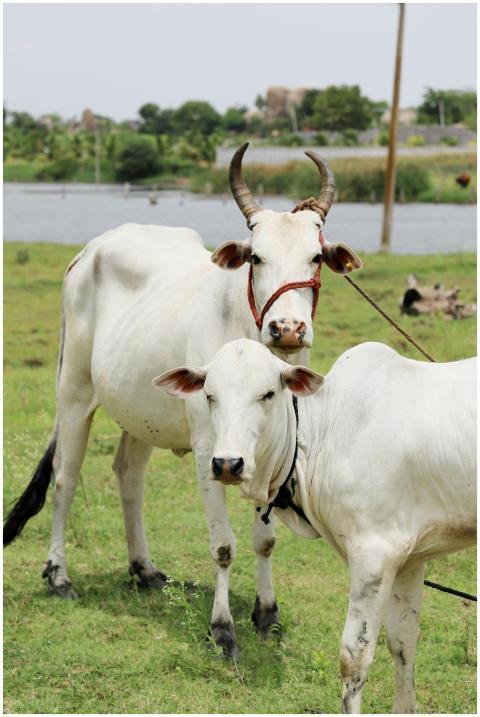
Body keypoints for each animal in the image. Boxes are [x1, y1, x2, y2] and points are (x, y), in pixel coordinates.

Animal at [3, 143, 362, 658]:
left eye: (315, 257)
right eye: (256, 257)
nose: (288, 329)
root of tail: (88, 252)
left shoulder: (271, 453)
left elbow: (265, 539)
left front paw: (266, 614)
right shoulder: (210, 452)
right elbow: (224, 545)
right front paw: (222, 630)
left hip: (140, 410)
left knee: (128, 477)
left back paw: (144, 569)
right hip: (73, 392)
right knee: (64, 479)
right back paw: (58, 576)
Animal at [155, 338, 476, 712]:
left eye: (268, 394)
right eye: (209, 395)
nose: (227, 464)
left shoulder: (374, 554)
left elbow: (354, 657)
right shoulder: (409, 559)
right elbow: (402, 645)